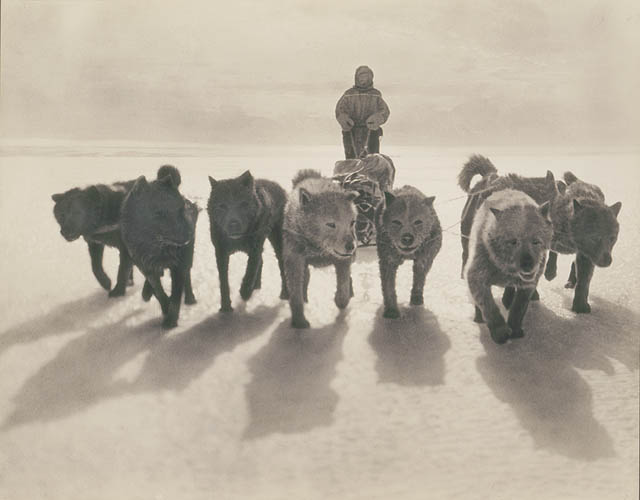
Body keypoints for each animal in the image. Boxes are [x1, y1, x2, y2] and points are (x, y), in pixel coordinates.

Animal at [120, 169, 198, 328]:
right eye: (159, 213)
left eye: (181, 209)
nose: (189, 234)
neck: (157, 248)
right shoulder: (146, 266)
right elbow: (158, 291)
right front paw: (164, 307)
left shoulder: (178, 266)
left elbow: (175, 297)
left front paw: (170, 322)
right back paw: (147, 293)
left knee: (187, 277)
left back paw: (190, 298)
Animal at [206, 173, 286, 312]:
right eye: (222, 206)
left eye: (243, 204)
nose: (233, 224)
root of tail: (277, 185)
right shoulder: (220, 252)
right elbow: (223, 280)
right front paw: (225, 307)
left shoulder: (255, 249)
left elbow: (250, 271)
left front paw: (245, 293)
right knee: (261, 261)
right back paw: (257, 286)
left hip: (277, 242)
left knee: (281, 265)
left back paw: (284, 294)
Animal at [376, 186, 440, 318]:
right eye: (396, 222)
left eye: (418, 222)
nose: (407, 238)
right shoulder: (387, 259)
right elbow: (388, 285)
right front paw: (391, 310)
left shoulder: (426, 256)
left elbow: (420, 275)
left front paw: (416, 296)